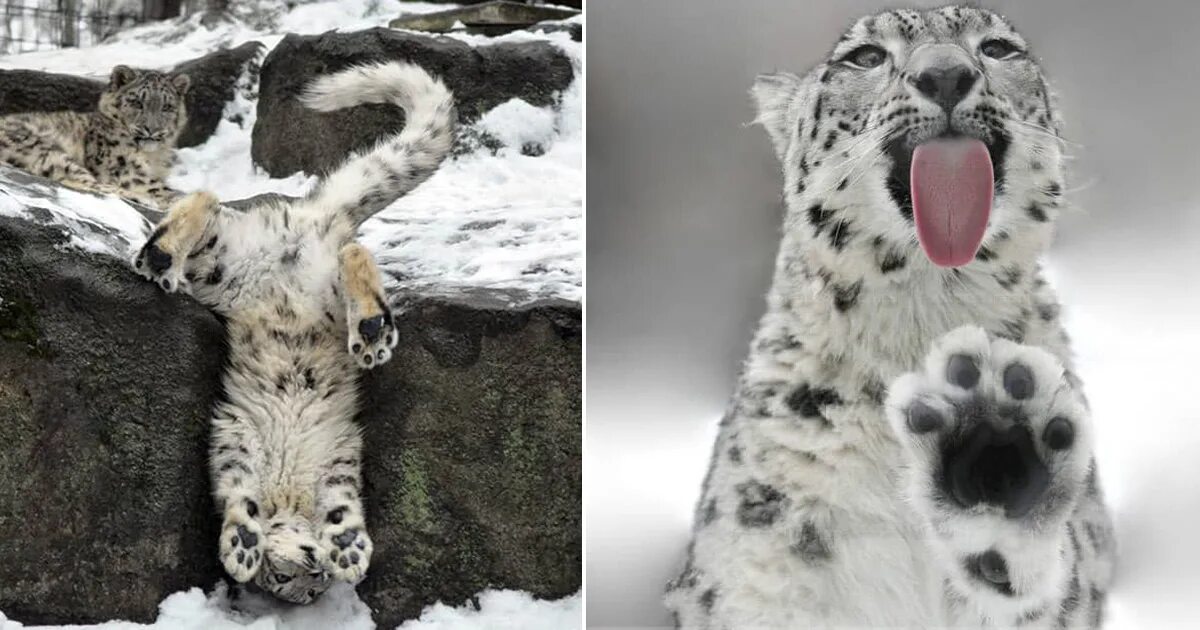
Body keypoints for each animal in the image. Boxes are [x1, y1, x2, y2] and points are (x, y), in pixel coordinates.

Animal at [0, 66, 188, 208]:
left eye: (167, 107)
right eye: (137, 102)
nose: (152, 129)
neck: (154, 156)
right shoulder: (124, 168)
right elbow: (157, 187)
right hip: (43, 147)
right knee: (83, 182)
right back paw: (145, 200)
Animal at [127, 61, 453, 602]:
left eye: (308, 588)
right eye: (283, 583)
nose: (316, 577)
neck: (289, 493)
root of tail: (307, 218)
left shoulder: (337, 460)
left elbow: (341, 501)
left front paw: (348, 547)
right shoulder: (235, 443)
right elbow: (237, 493)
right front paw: (242, 545)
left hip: (262, 273)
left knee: (224, 205)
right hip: (229, 265)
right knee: (331, 244)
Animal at [667, 6, 1113, 628]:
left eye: (999, 47)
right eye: (866, 56)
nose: (945, 74)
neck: (927, 312)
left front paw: (998, 446)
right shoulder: (756, 575)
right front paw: (987, 437)